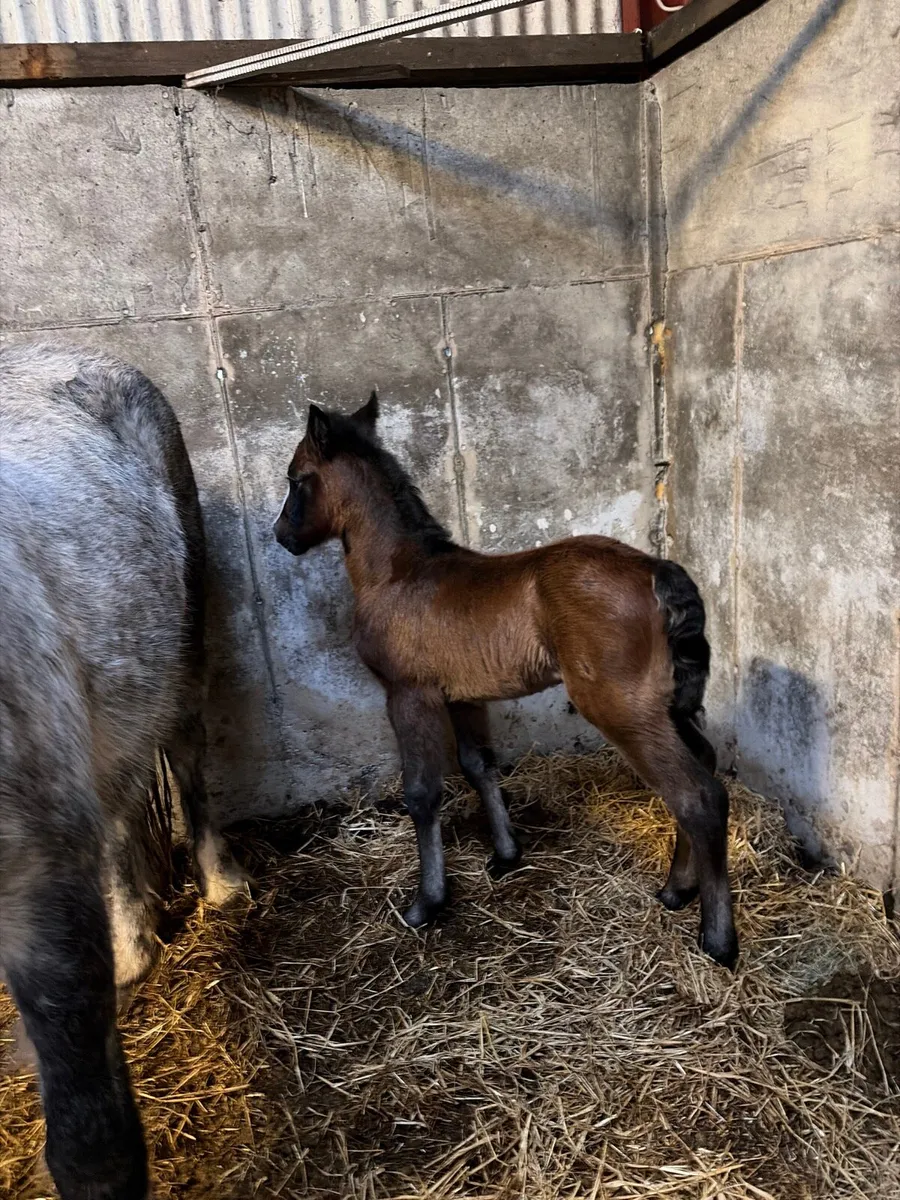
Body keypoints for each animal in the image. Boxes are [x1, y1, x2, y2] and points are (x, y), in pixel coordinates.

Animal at [0, 343, 248, 1200]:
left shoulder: (36, 880)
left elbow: (90, 1140)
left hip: (183, 642)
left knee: (187, 756)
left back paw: (219, 887)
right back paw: (135, 951)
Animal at [274, 393, 738, 969]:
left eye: (296, 478)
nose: (282, 537)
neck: (398, 573)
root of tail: (656, 568)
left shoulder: (409, 694)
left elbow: (422, 792)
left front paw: (427, 902)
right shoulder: (463, 697)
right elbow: (480, 766)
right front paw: (506, 854)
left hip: (621, 706)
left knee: (697, 795)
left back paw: (718, 939)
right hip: (668, 703)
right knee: (701, 768)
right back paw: (677, 890)